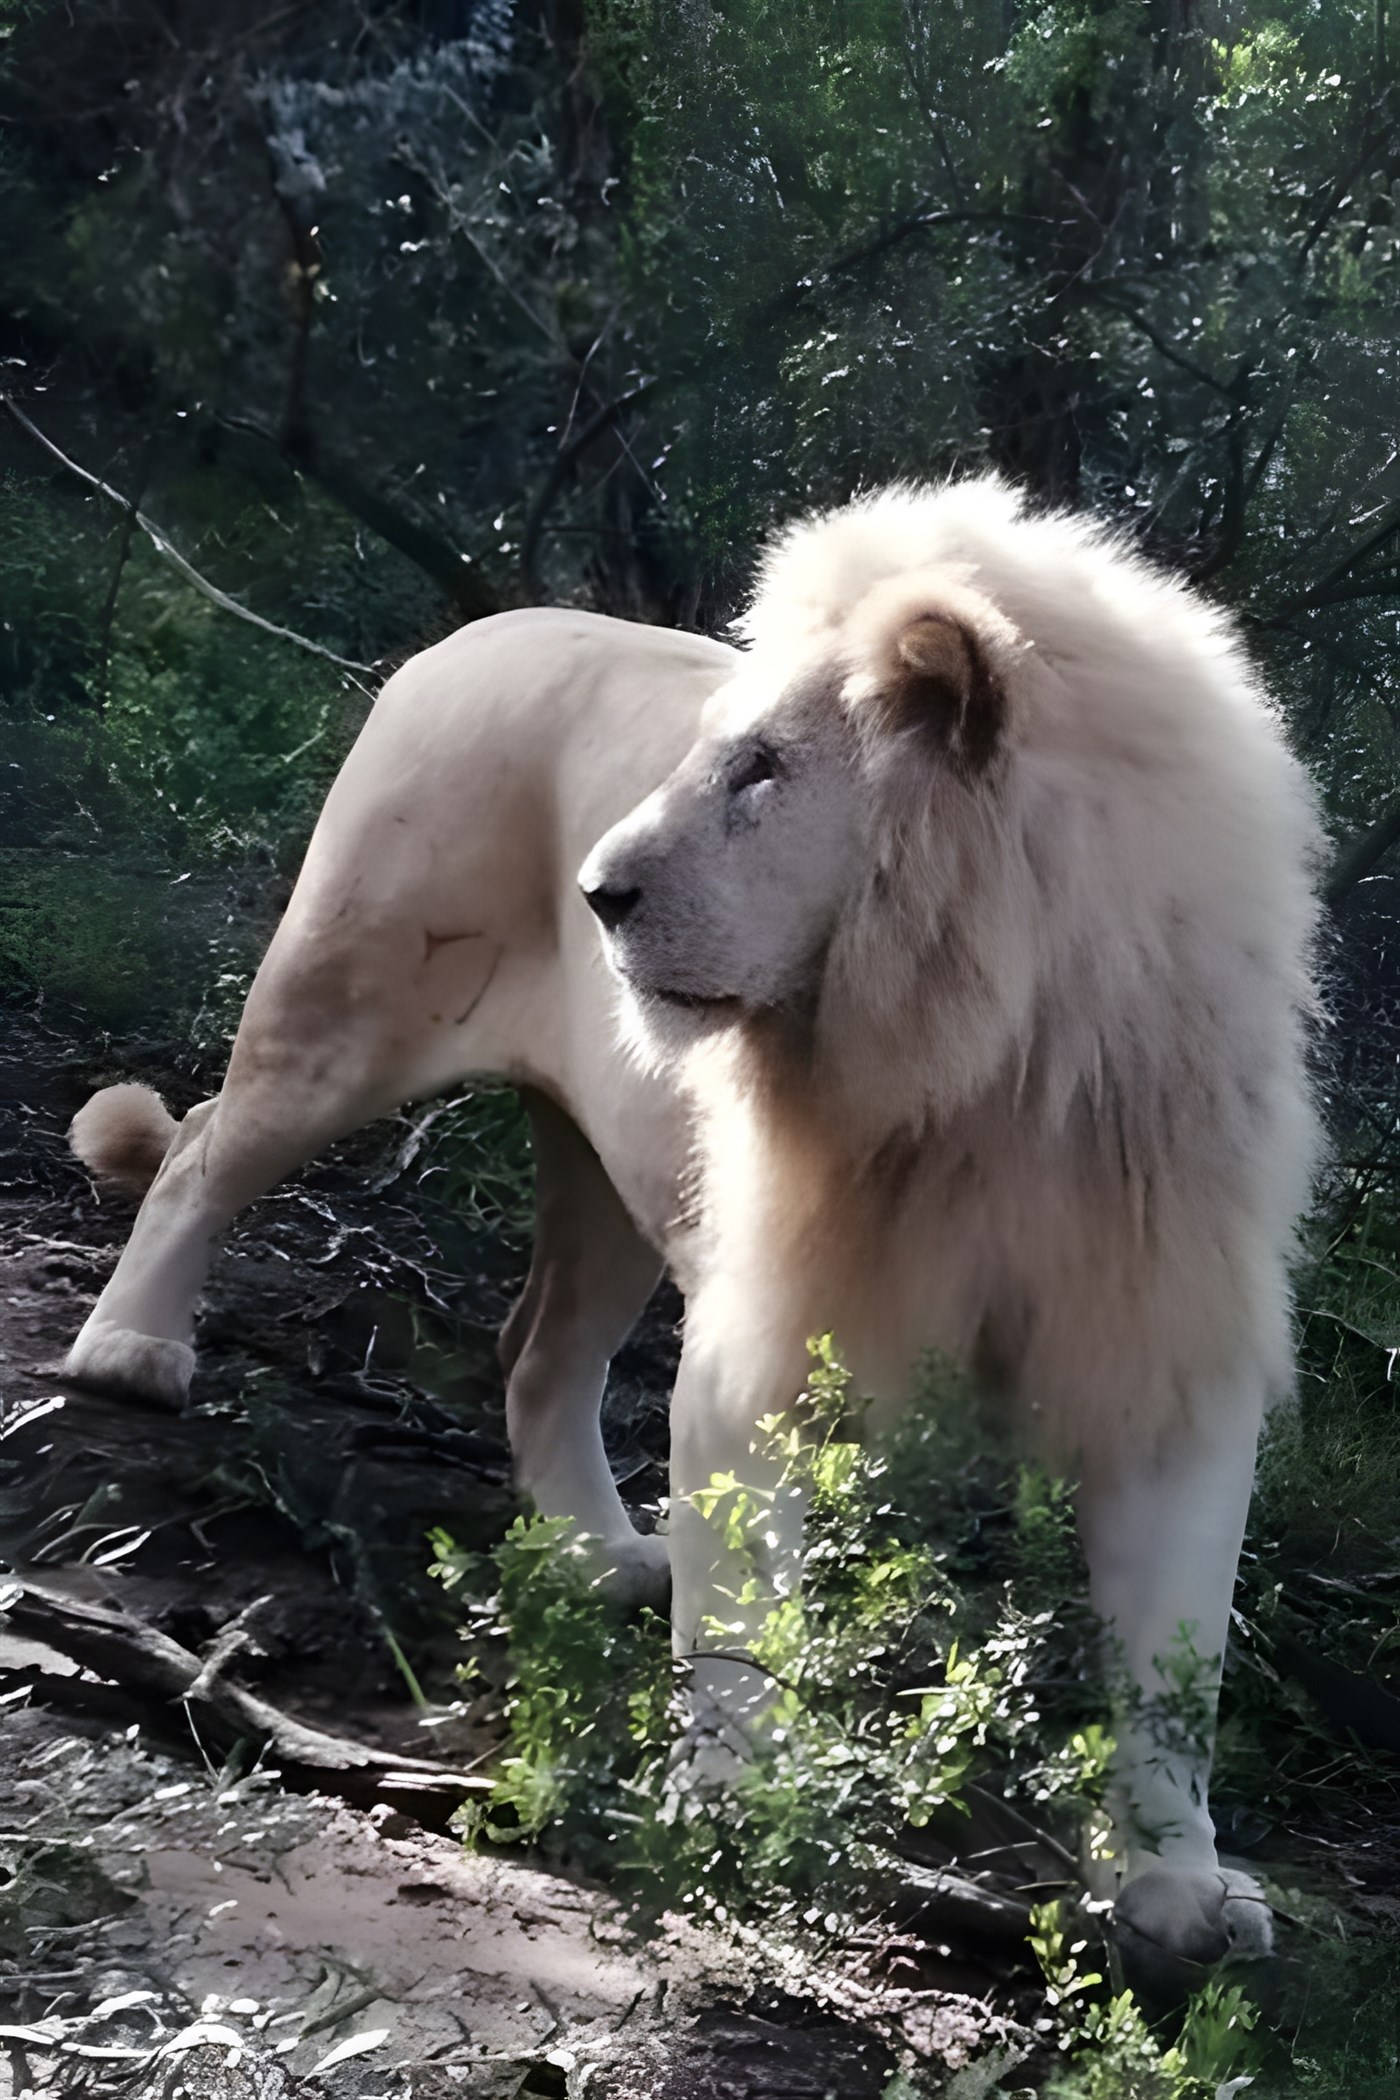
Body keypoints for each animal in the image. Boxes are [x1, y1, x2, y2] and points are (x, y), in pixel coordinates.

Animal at [64, 478, 1321, 1978]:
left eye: (763, 769)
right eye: (722, 751)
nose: (595, 894)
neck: (987, 1066)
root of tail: (473, 633)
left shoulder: (1158, 1351)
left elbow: (1175, 1655)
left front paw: (1174, 1884)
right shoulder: (763, 1339)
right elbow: (739, 1611)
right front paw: (733, 1794)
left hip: (605, 1173)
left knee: (537, 1351)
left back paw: (599, 1553)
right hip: (343, 1012)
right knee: (199, 1151)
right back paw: (127, 1351)